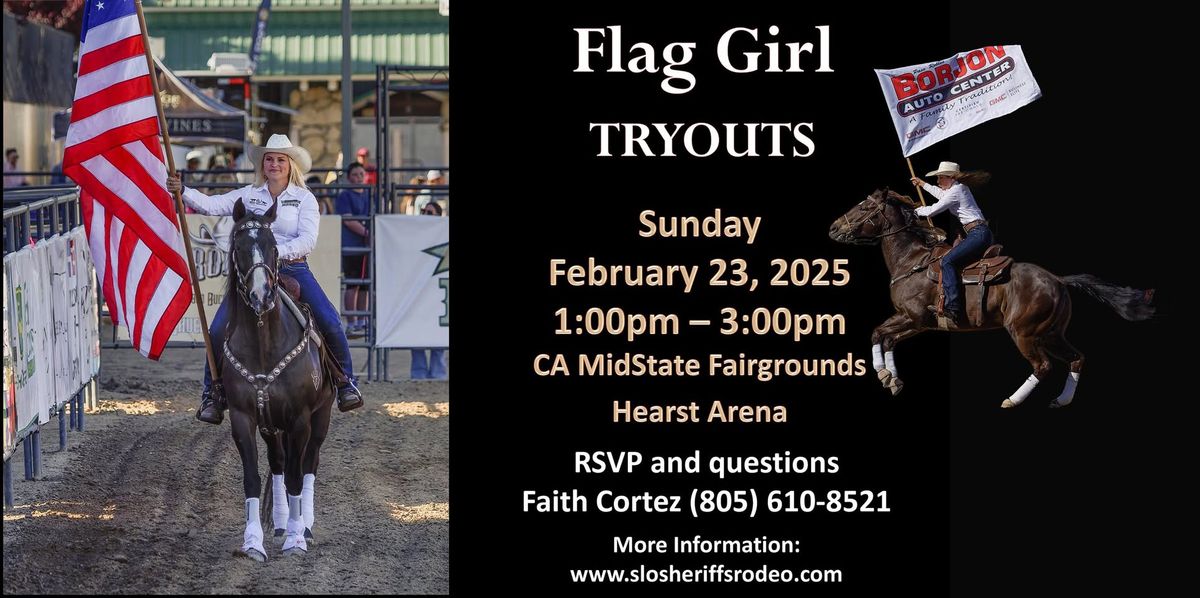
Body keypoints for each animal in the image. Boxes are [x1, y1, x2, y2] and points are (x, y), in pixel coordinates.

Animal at [224, 198, 333, 557]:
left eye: (273, 247)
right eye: (239, 247)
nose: (261, 295)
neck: (264, 343)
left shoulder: (300, 419)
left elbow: (298, 477)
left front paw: (296, 540)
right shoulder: (243, 418)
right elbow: (253, 478)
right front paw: (252, 542)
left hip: (321, 416)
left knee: (309, 463)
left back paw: (304, 526)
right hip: (271, 426)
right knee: (278, 463)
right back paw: (284, 522)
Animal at [830, 189, 1156, 408]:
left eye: (864, 206)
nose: (834, 227)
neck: (912, 261)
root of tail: (1057, 280)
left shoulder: (916, 319)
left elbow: (878, 333)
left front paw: (884, 373)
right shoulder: (914, 322)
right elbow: (885, 339)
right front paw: (891, 378)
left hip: (1025, 332)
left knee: (1043, 366)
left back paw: (1012, 400)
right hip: (1051, 333)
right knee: (1077, 358)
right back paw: (1061, 400)